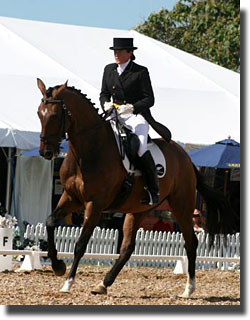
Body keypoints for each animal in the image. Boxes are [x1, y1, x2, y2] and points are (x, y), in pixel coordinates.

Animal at [36, 79, 235, 298]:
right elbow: (50, 221)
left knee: (191, 242)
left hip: (182, 205)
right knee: (128, 247)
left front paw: (67, 282)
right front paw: (57, 266)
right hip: (138, 209)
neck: (88, 150)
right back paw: (103, 283)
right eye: (39, 113)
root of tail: (186, 158)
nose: (46, 152)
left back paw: (188, 289)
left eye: (55, 115)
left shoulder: (94, 204)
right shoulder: (71, 197)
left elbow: (80, 244)